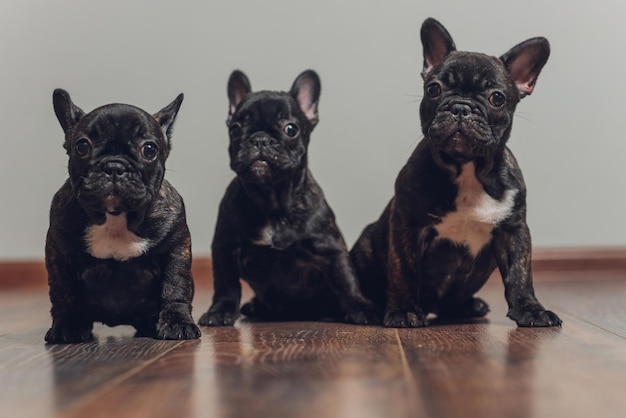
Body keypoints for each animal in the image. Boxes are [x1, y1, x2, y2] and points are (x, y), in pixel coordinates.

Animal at [44, 89, 200, 342]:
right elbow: (64, 291)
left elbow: (174, 286)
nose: (114, 166)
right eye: (82, 147)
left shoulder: (176, 247)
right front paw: (67, 325)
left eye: (149, 149)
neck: (115, 217)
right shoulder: (59, 251)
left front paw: (177, 323)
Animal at [197, 70, 378, 326]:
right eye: (235, 129)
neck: (272, 200)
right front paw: (220, 311)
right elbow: (226, 283)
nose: (260, 139)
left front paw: (361, 306)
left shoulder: (330, 247)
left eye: (291, 129)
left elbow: (346, 277)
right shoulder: (225, 246)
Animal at [352, 18, 560, 328]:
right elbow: (404, 271)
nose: (461, 107)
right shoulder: (407, 226)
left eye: (497, 97)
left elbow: (520, 274)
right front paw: (403, 310)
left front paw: (531, 309)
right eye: (433, 89)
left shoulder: (514, 230)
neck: (468, 168)